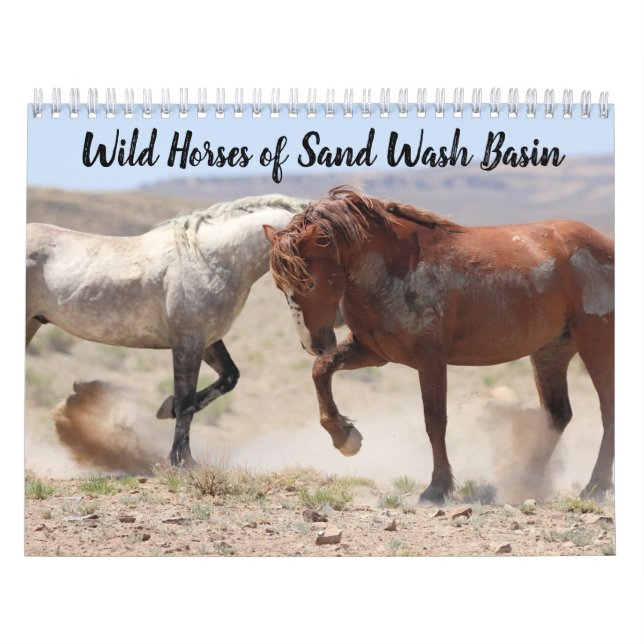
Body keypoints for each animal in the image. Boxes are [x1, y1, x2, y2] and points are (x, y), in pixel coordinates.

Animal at [27, 194, 309, 466]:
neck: (212, 259)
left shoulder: (207, 340)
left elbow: (227, 378)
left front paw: (165, 410)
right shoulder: (188, 341)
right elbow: (186, 401)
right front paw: (182, 461)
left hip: (31, 323)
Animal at [264, 186, 614, 504]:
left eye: (309, 281)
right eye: (280, 285)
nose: (314, 343)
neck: (395, 267)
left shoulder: (430, 359)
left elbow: (434, 421)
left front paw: (437, 488)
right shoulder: (373, 352)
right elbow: (321, 371)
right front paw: (344, 436)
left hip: (595, 343)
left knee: (606, 409)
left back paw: (594, 487)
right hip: (551, 351)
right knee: (557, 414)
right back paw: (526, 484)